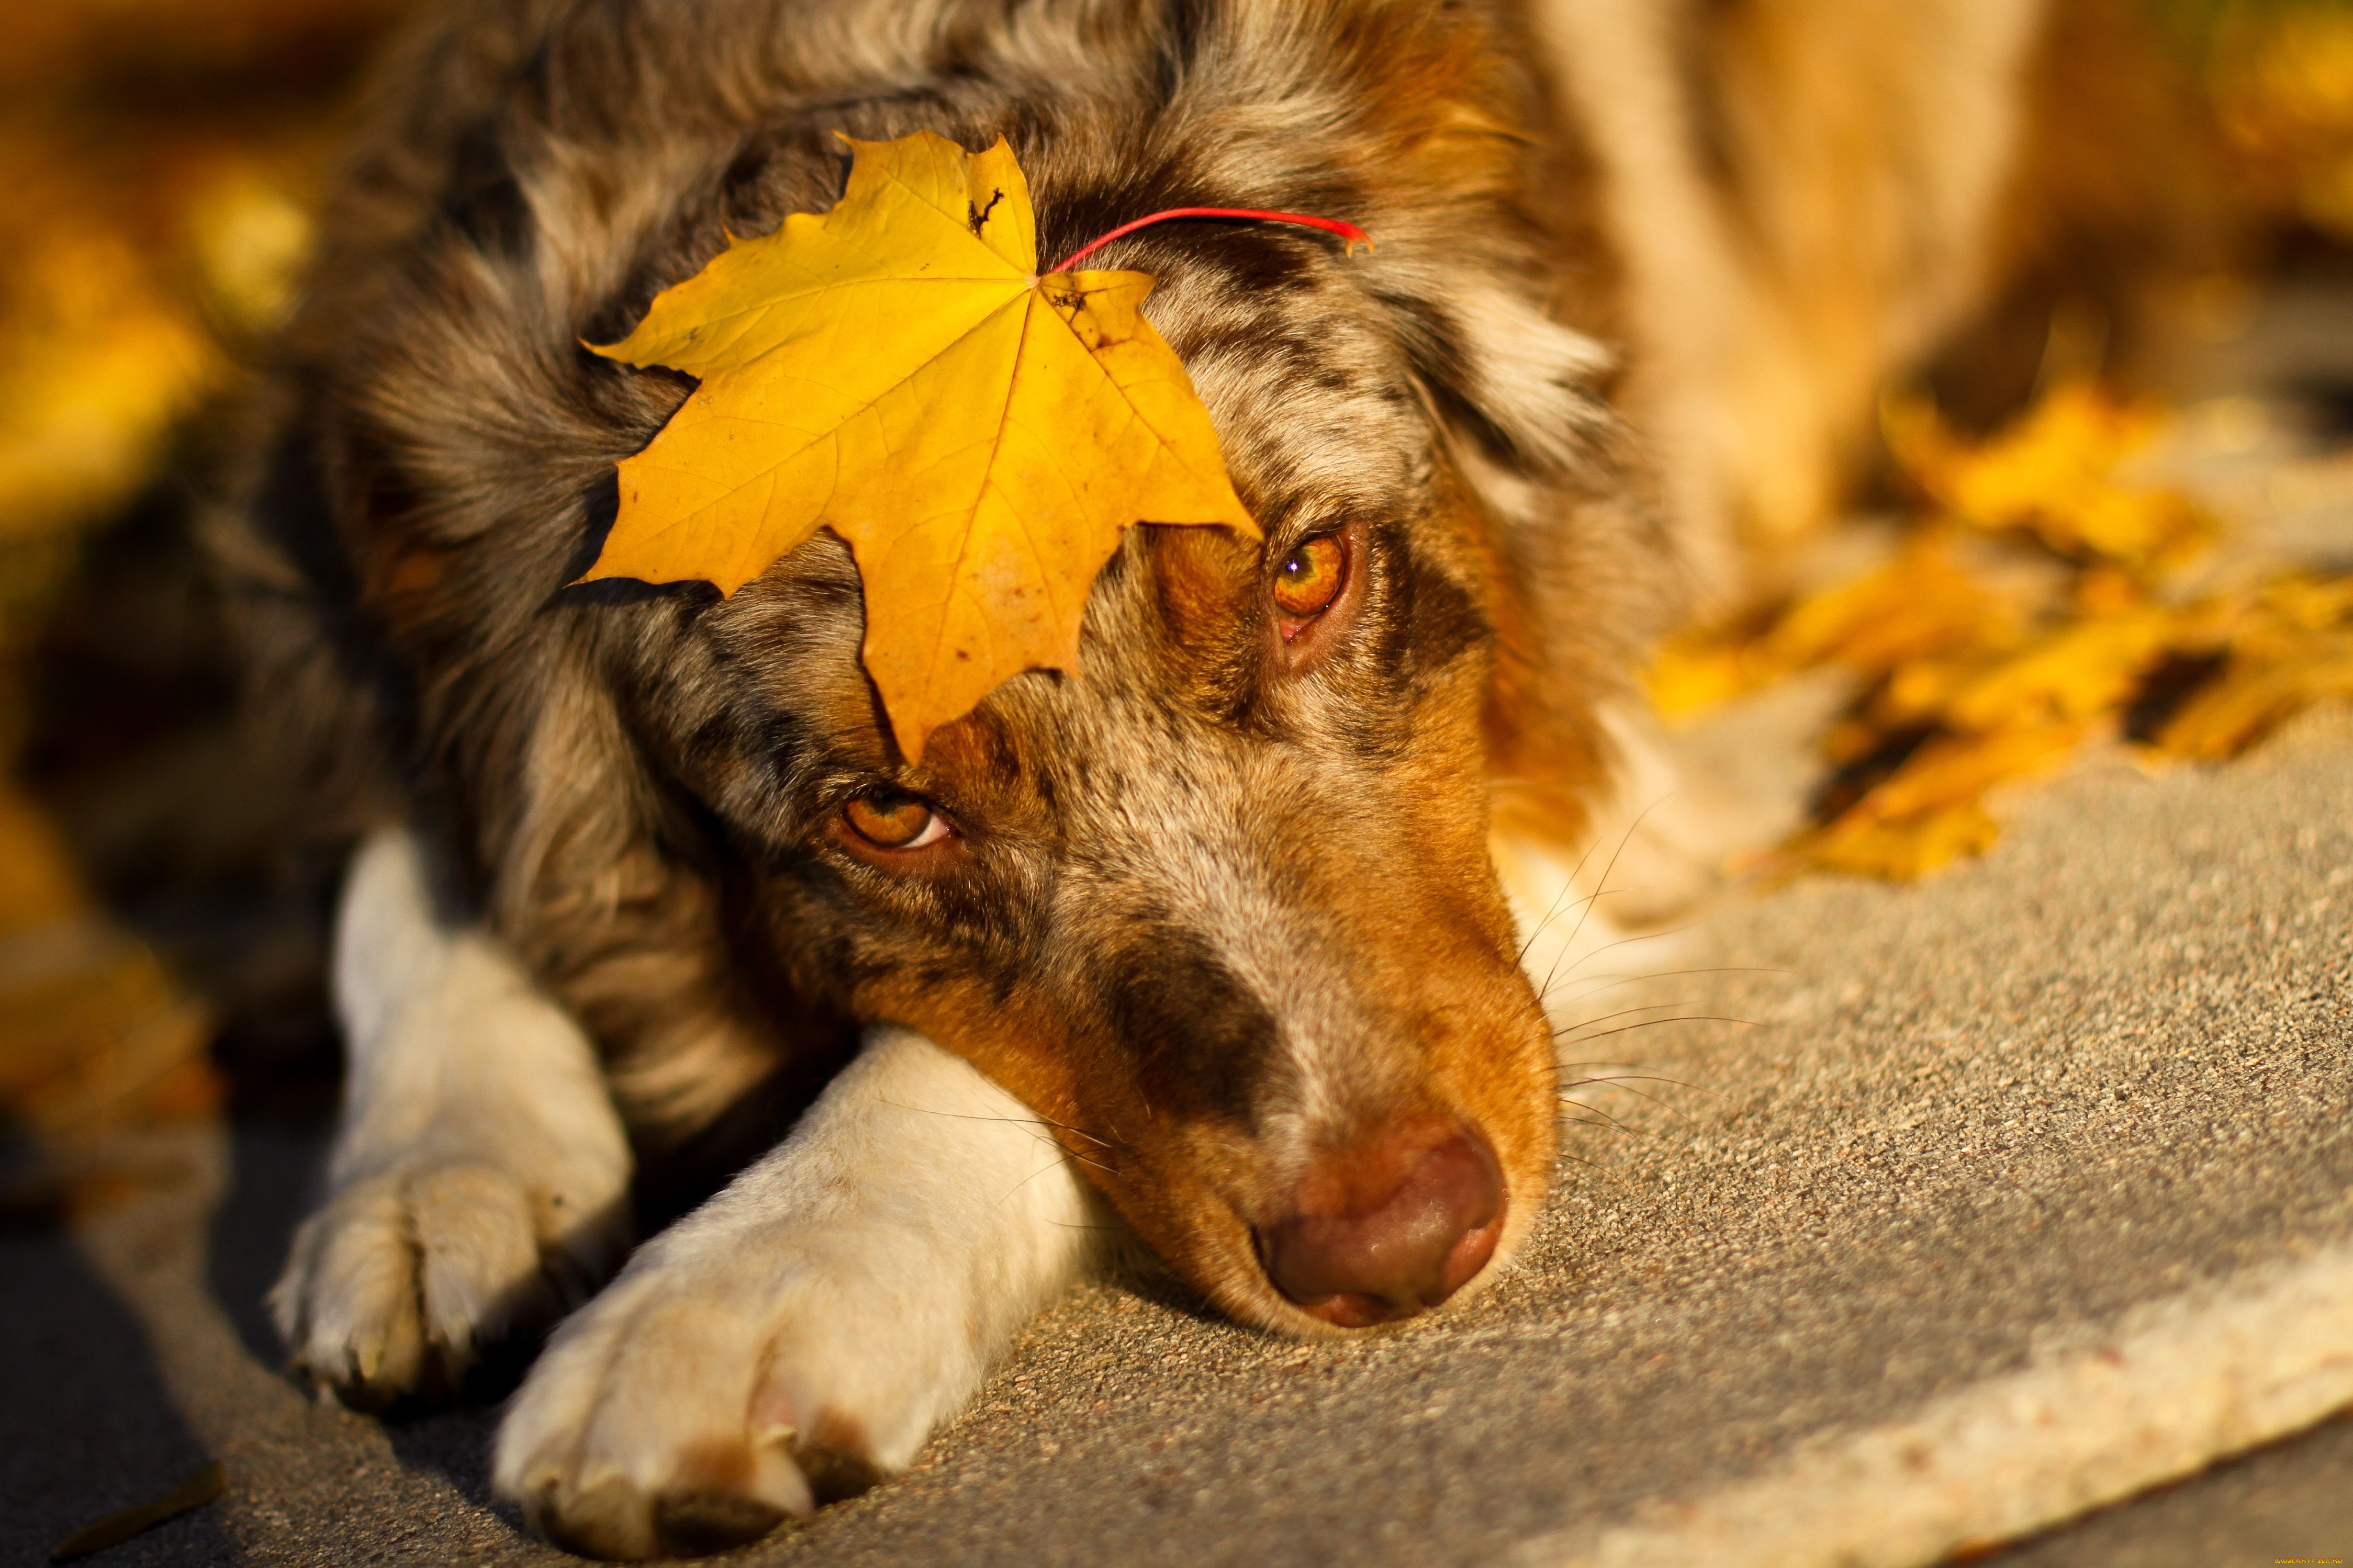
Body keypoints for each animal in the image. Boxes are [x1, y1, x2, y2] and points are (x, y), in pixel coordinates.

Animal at [229, 0, 2193, 1551]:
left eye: (1305, 573)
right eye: (887, 811)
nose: (1403, 1247)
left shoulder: (1581, 762)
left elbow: (917, 1071)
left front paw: (740, 1289)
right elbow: (409, 864)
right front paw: (437, 1172)